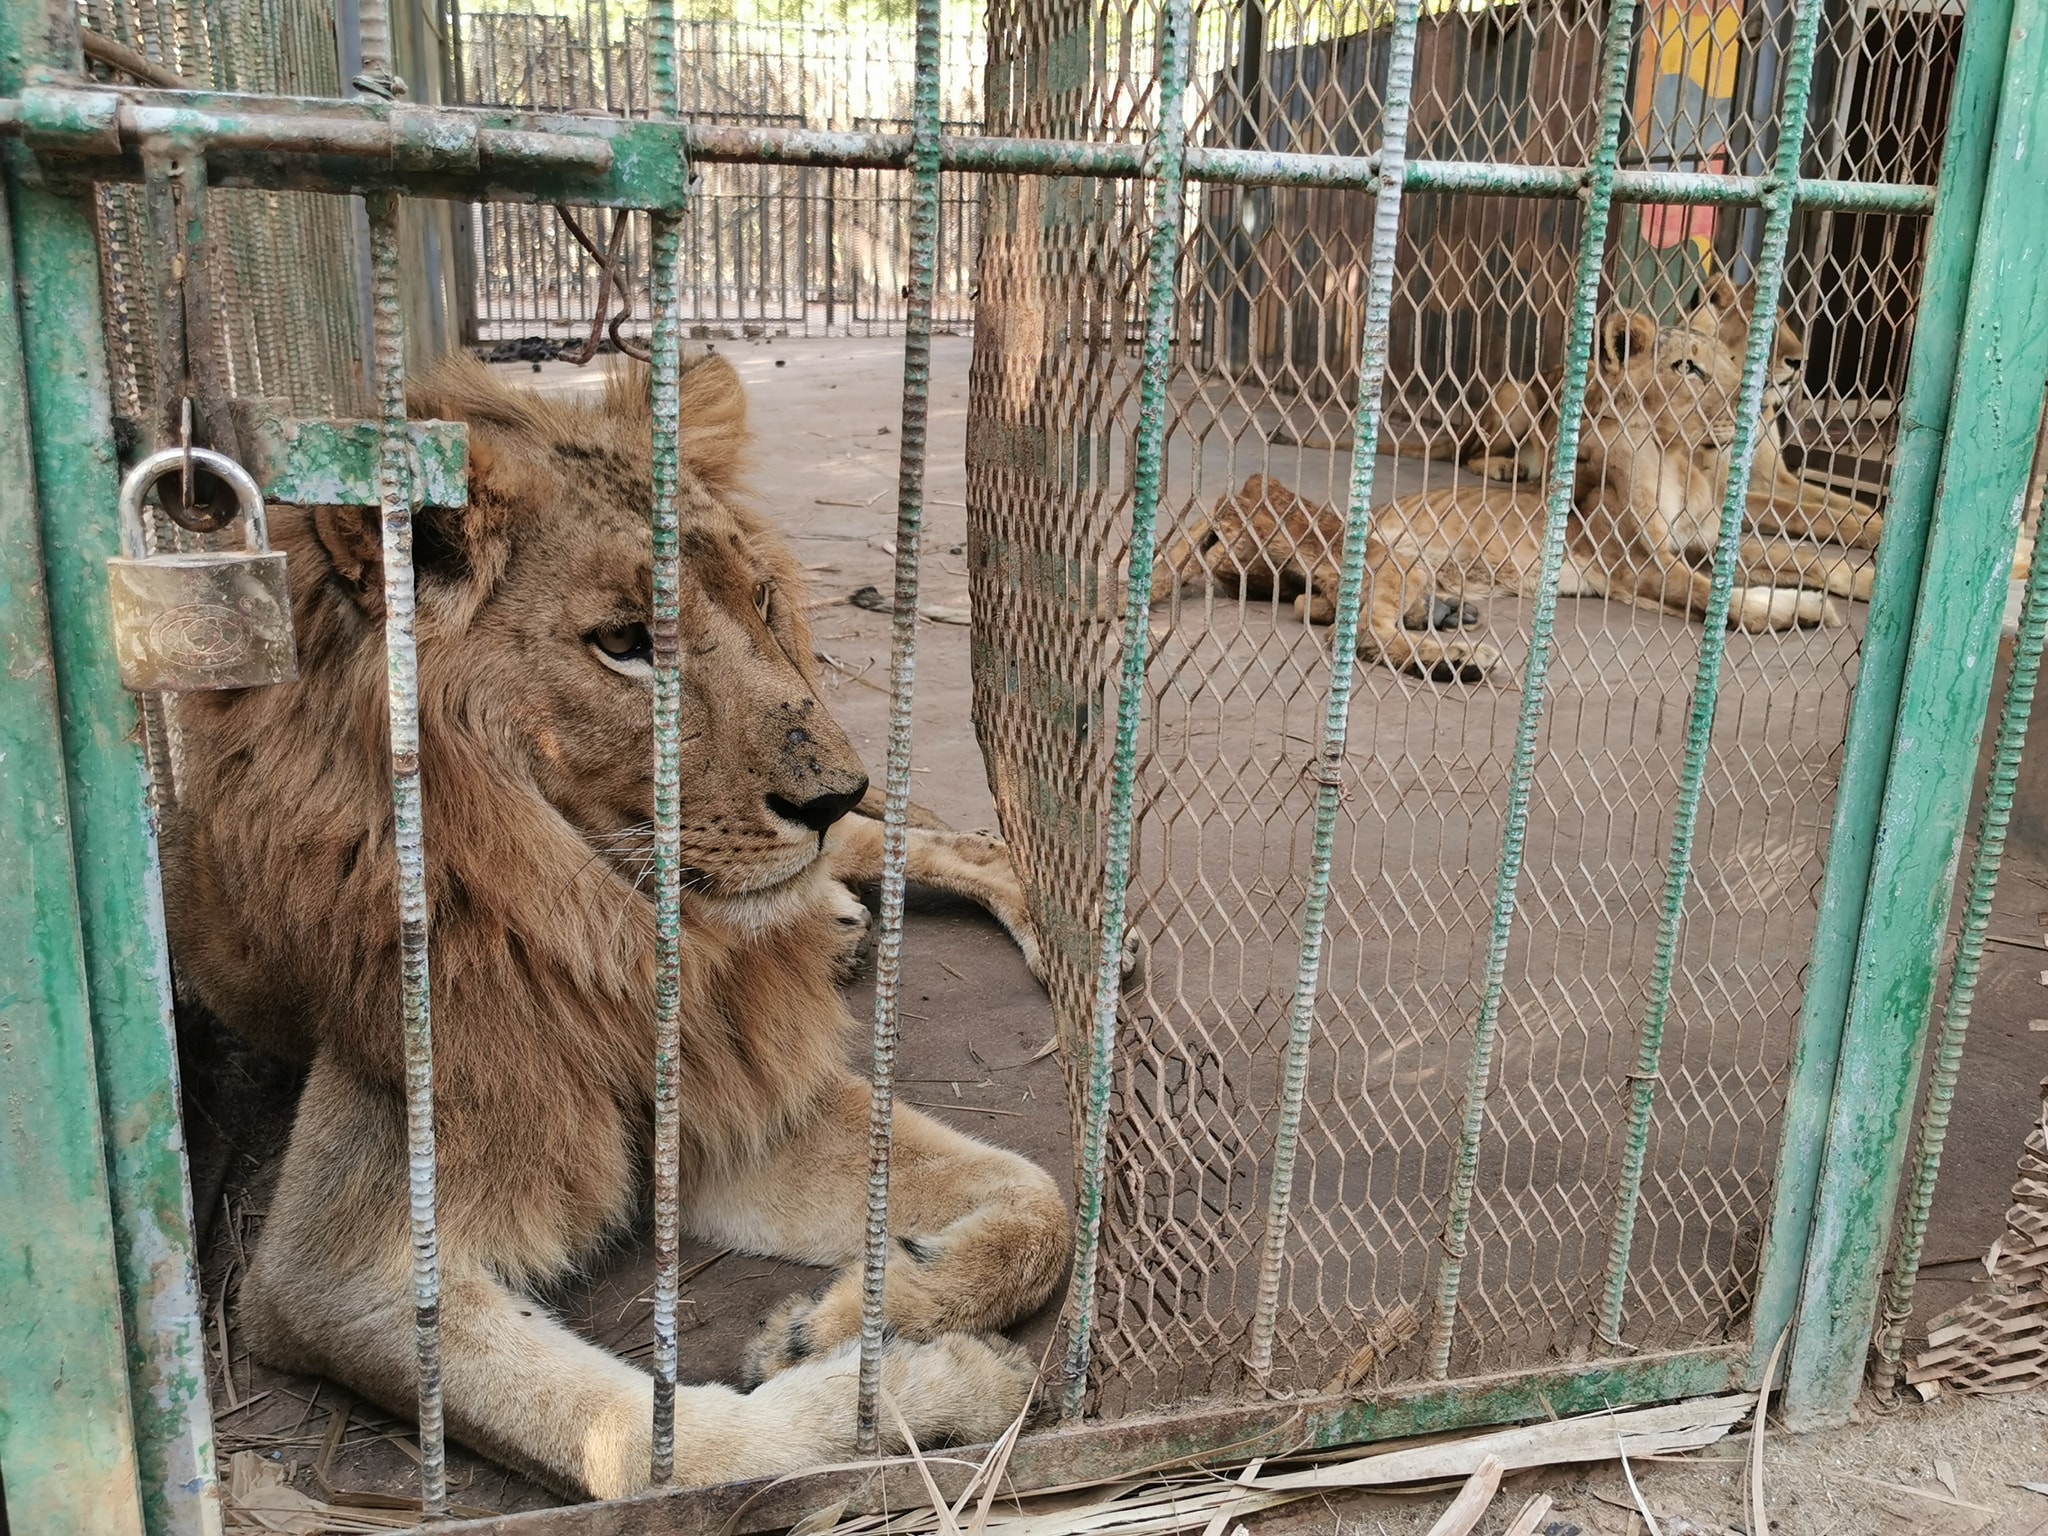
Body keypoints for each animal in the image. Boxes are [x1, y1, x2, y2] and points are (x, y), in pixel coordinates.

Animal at [159, 354, 1073, 1499]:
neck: (608, 928)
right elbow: (643, 1446)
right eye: (626, 644)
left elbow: (1042, 1200)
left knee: (929, 843)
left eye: (761, 601)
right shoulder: (329, 1270)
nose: (829, 791)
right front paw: (933, 1388)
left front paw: (846, 1318)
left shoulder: (735, 1092)